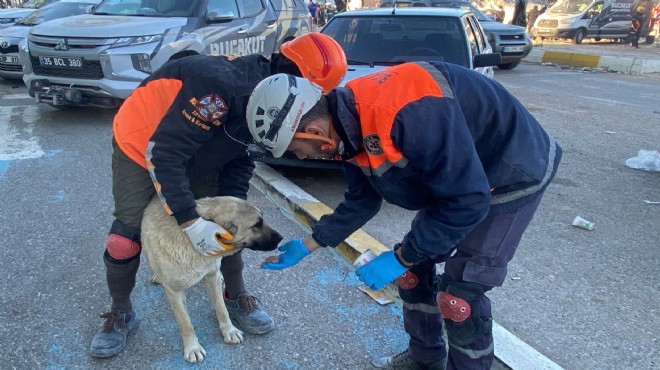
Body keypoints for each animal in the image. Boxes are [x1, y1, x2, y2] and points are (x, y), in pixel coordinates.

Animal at [142, 195, 282, 362]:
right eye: (257, 224)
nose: (281, 238)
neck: (190, 241)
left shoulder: (212, 276)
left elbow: (222, 309)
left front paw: (229, 330)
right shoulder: (174, 291)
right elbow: (186, 323)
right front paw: (193, 347)